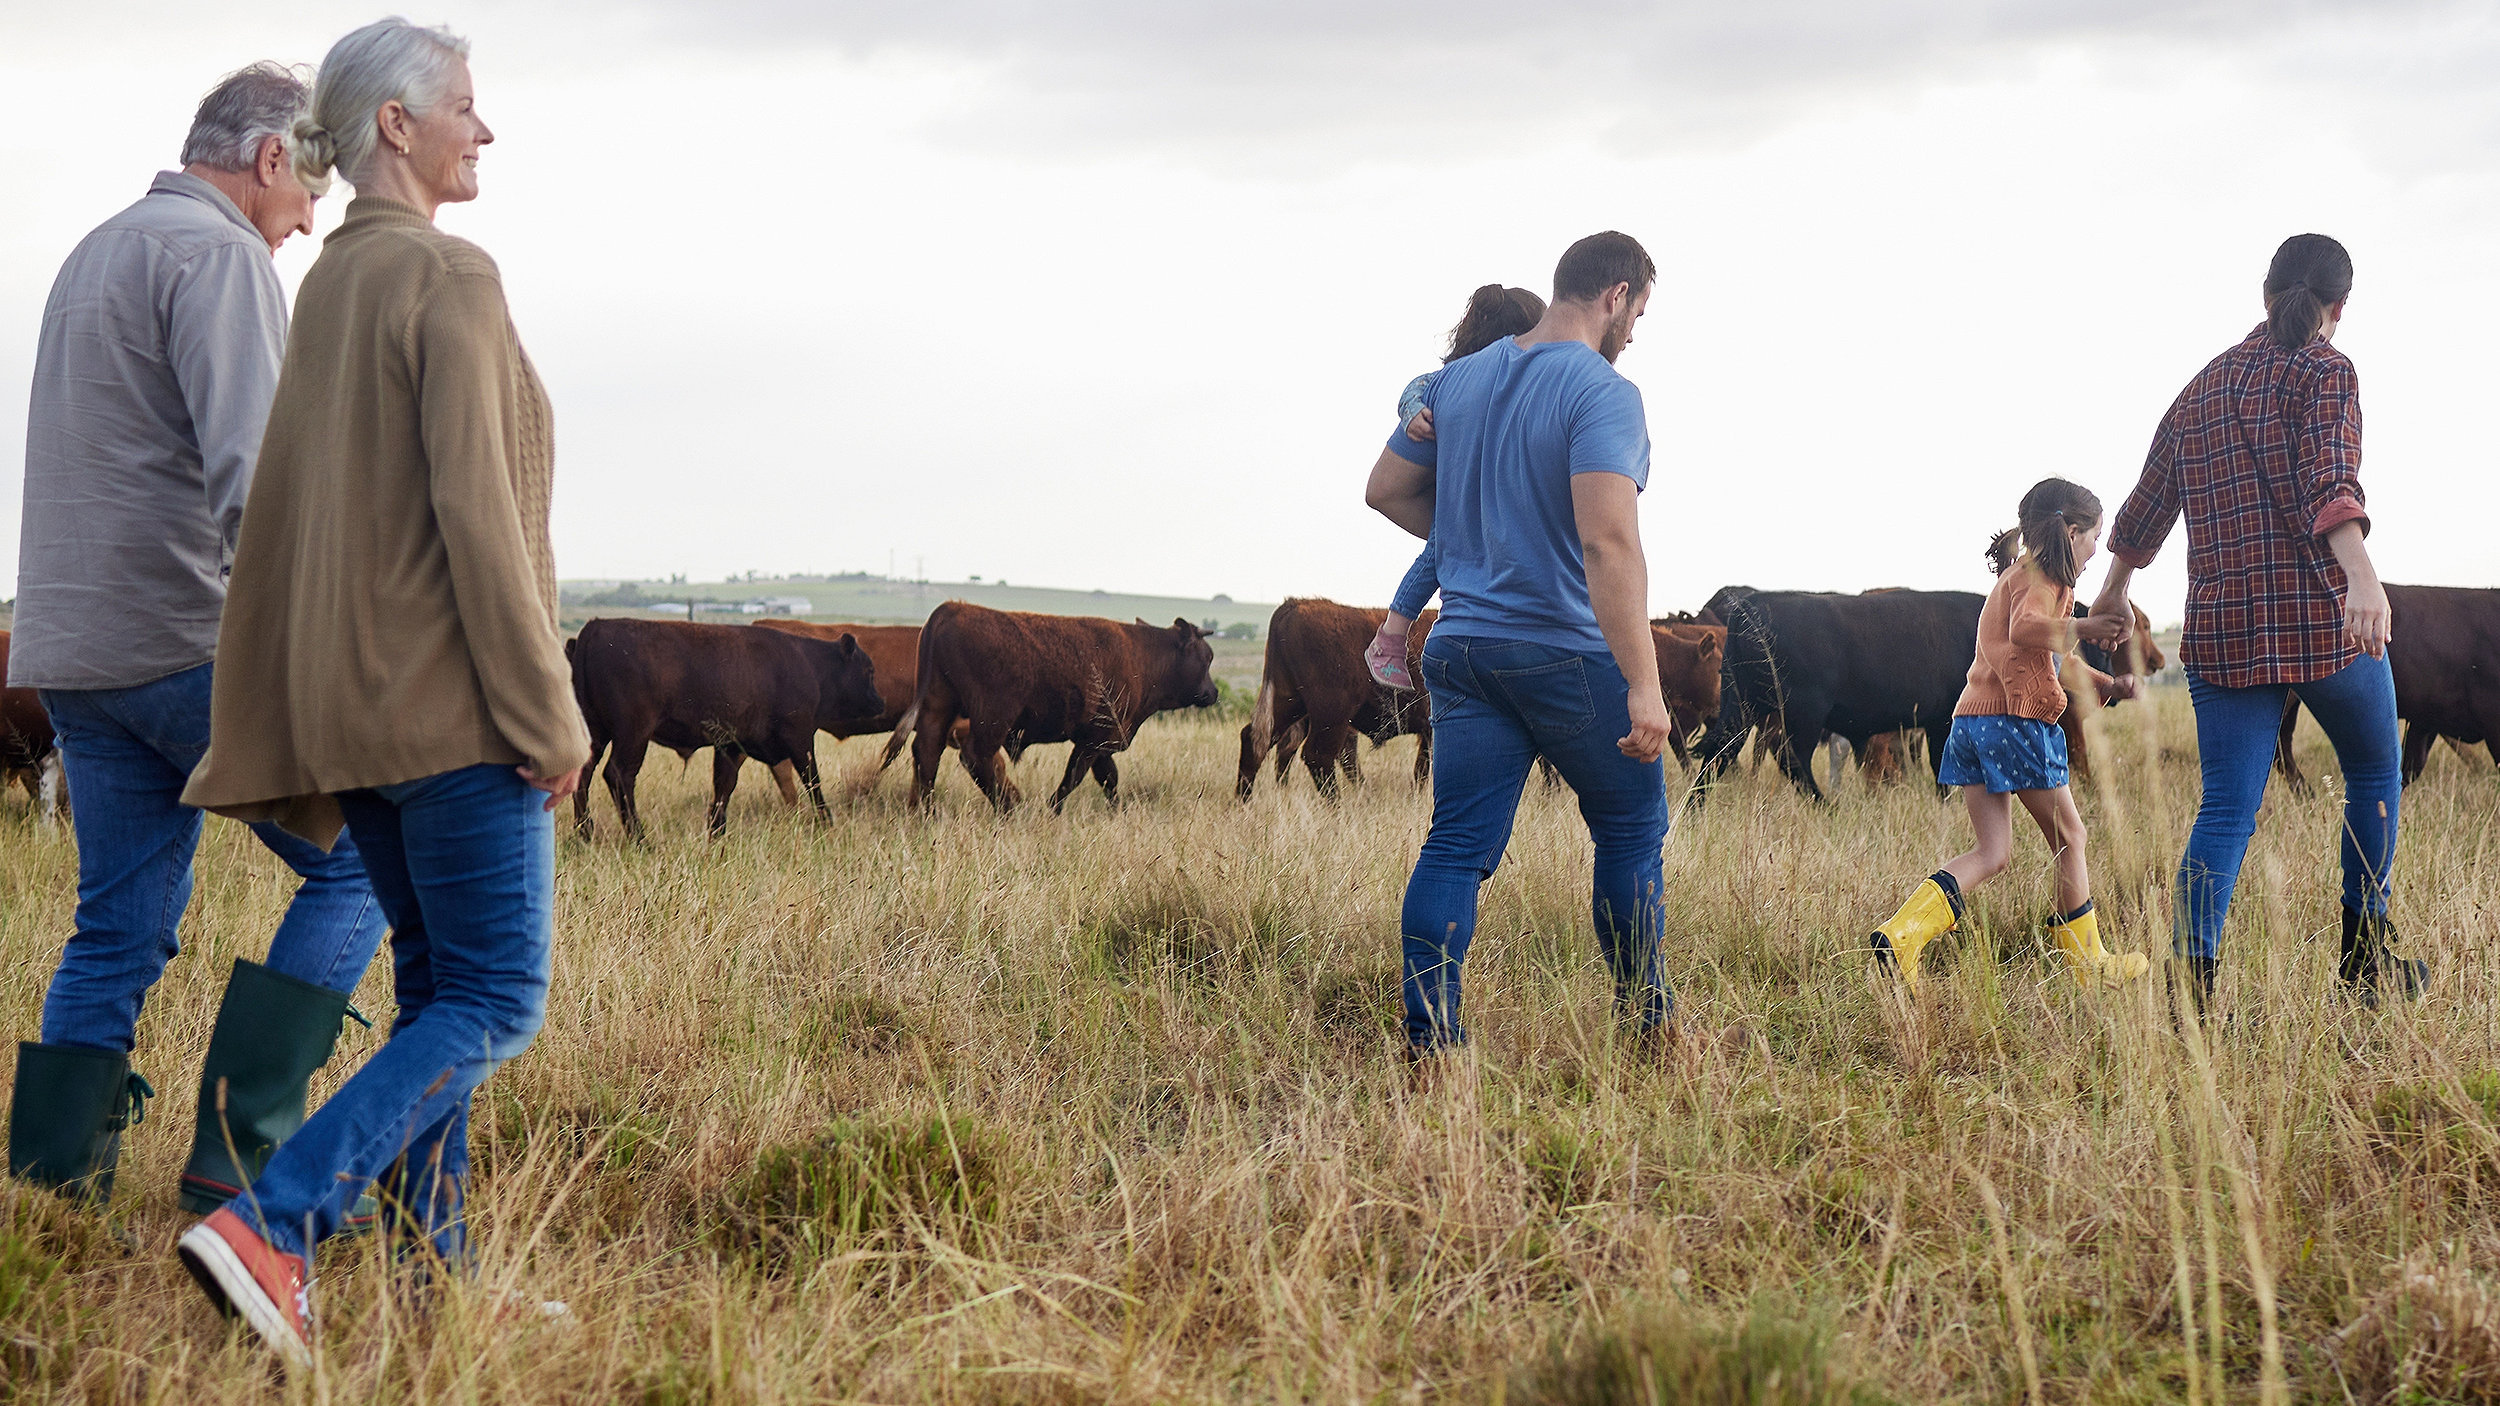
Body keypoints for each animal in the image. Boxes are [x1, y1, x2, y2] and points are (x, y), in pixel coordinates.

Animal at [572, 612, 885, 830]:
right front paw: (827, 823)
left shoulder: (732, 744)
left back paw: (584, 833)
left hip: (595, 732)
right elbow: (813, 780)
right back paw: (639, 838)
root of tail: (595, 628)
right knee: (619, 775)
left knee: (582, 774)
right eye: (868, 670)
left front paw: (716, 832)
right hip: (633, 733)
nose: (880, 702)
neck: (810, 664)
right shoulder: (800, 737)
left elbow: (723, 787)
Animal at [910, 602, 1220, 810]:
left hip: (939, 706)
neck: (1143, 654)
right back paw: (1009, 808)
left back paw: (927, 812)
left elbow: (1108, 778)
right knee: (975, 756)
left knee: (927, 751)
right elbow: (1077, 776)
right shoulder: (1094, 739)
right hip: (992, 716)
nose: (1213, 693)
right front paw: (1052, 808)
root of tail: (953, 608)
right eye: (1207, 657)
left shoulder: (1100, 743)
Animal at [1240, 592, 1440, 800]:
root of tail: (1295, 604)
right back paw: (1340, 804)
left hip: (1290, 703)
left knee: (1257, 740)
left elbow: (1422, 768)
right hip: (1332, 713)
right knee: (1317, 754)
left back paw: (1244, 802)